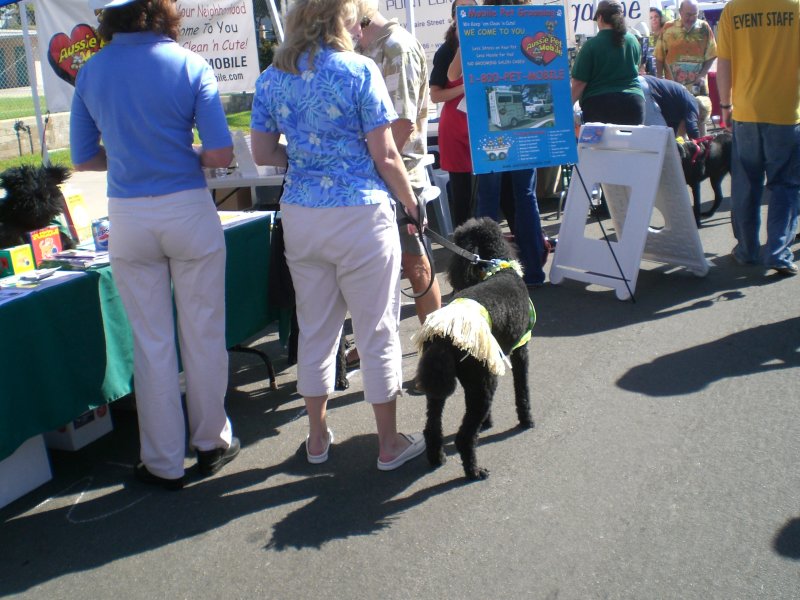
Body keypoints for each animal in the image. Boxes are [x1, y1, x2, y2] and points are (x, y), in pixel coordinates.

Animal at [416, 218, 536, 480]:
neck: (500, 269)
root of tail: (444, 335)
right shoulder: (521, 349)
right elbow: (522, 389)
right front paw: (526, 420)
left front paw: (488, 423)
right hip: (483, 382)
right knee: (464, 437)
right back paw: (474, 471)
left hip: (447, 383)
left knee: (432, 427)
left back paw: (437, 458)